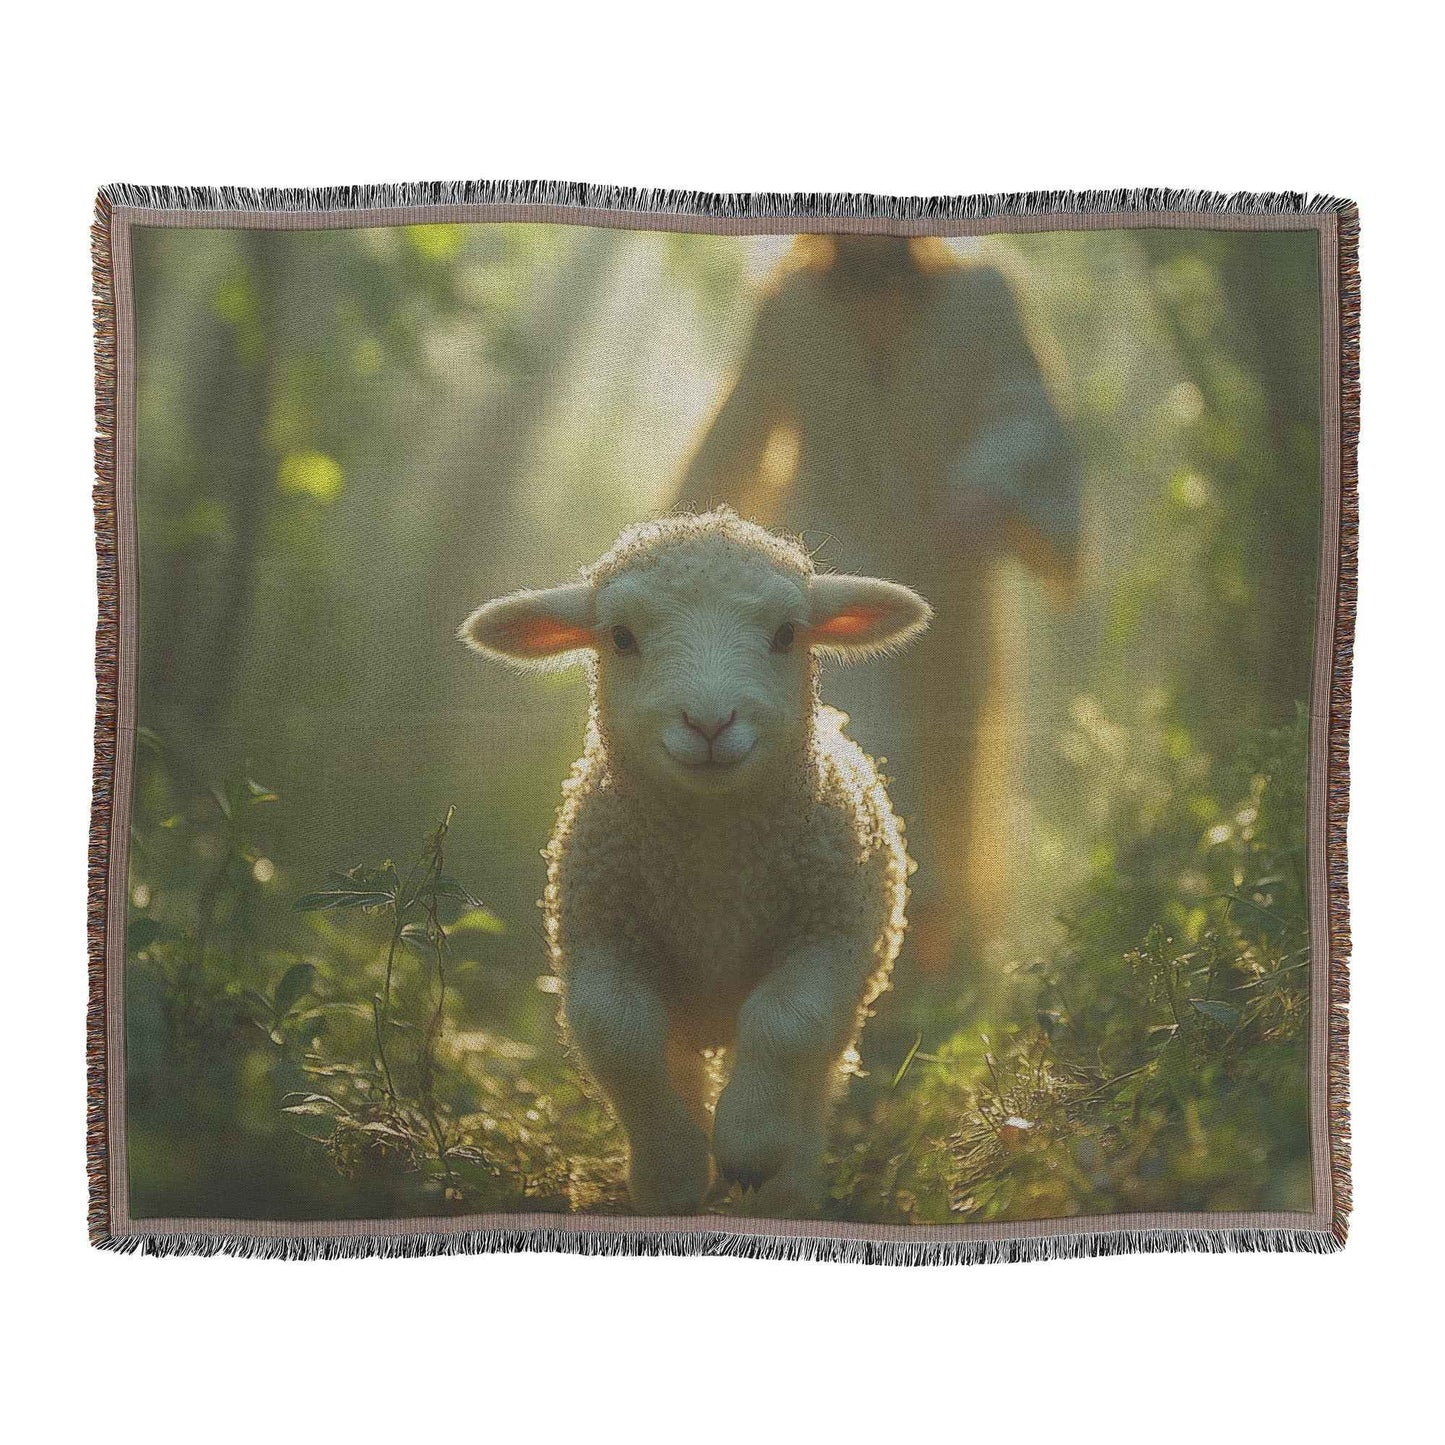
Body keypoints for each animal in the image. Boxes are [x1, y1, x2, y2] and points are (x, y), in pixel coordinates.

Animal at [460, 507, 932, 1215]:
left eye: (786, 633)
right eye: (621, 637)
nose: (710, 723)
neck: (714, 869)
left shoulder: (833, 936)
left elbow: (786, 1024)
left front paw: (749, 1145)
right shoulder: (599, 935)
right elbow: (618, 1036)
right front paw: (672, 1172)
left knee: (813, 1080)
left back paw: (786, 1192)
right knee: (677, 1061)